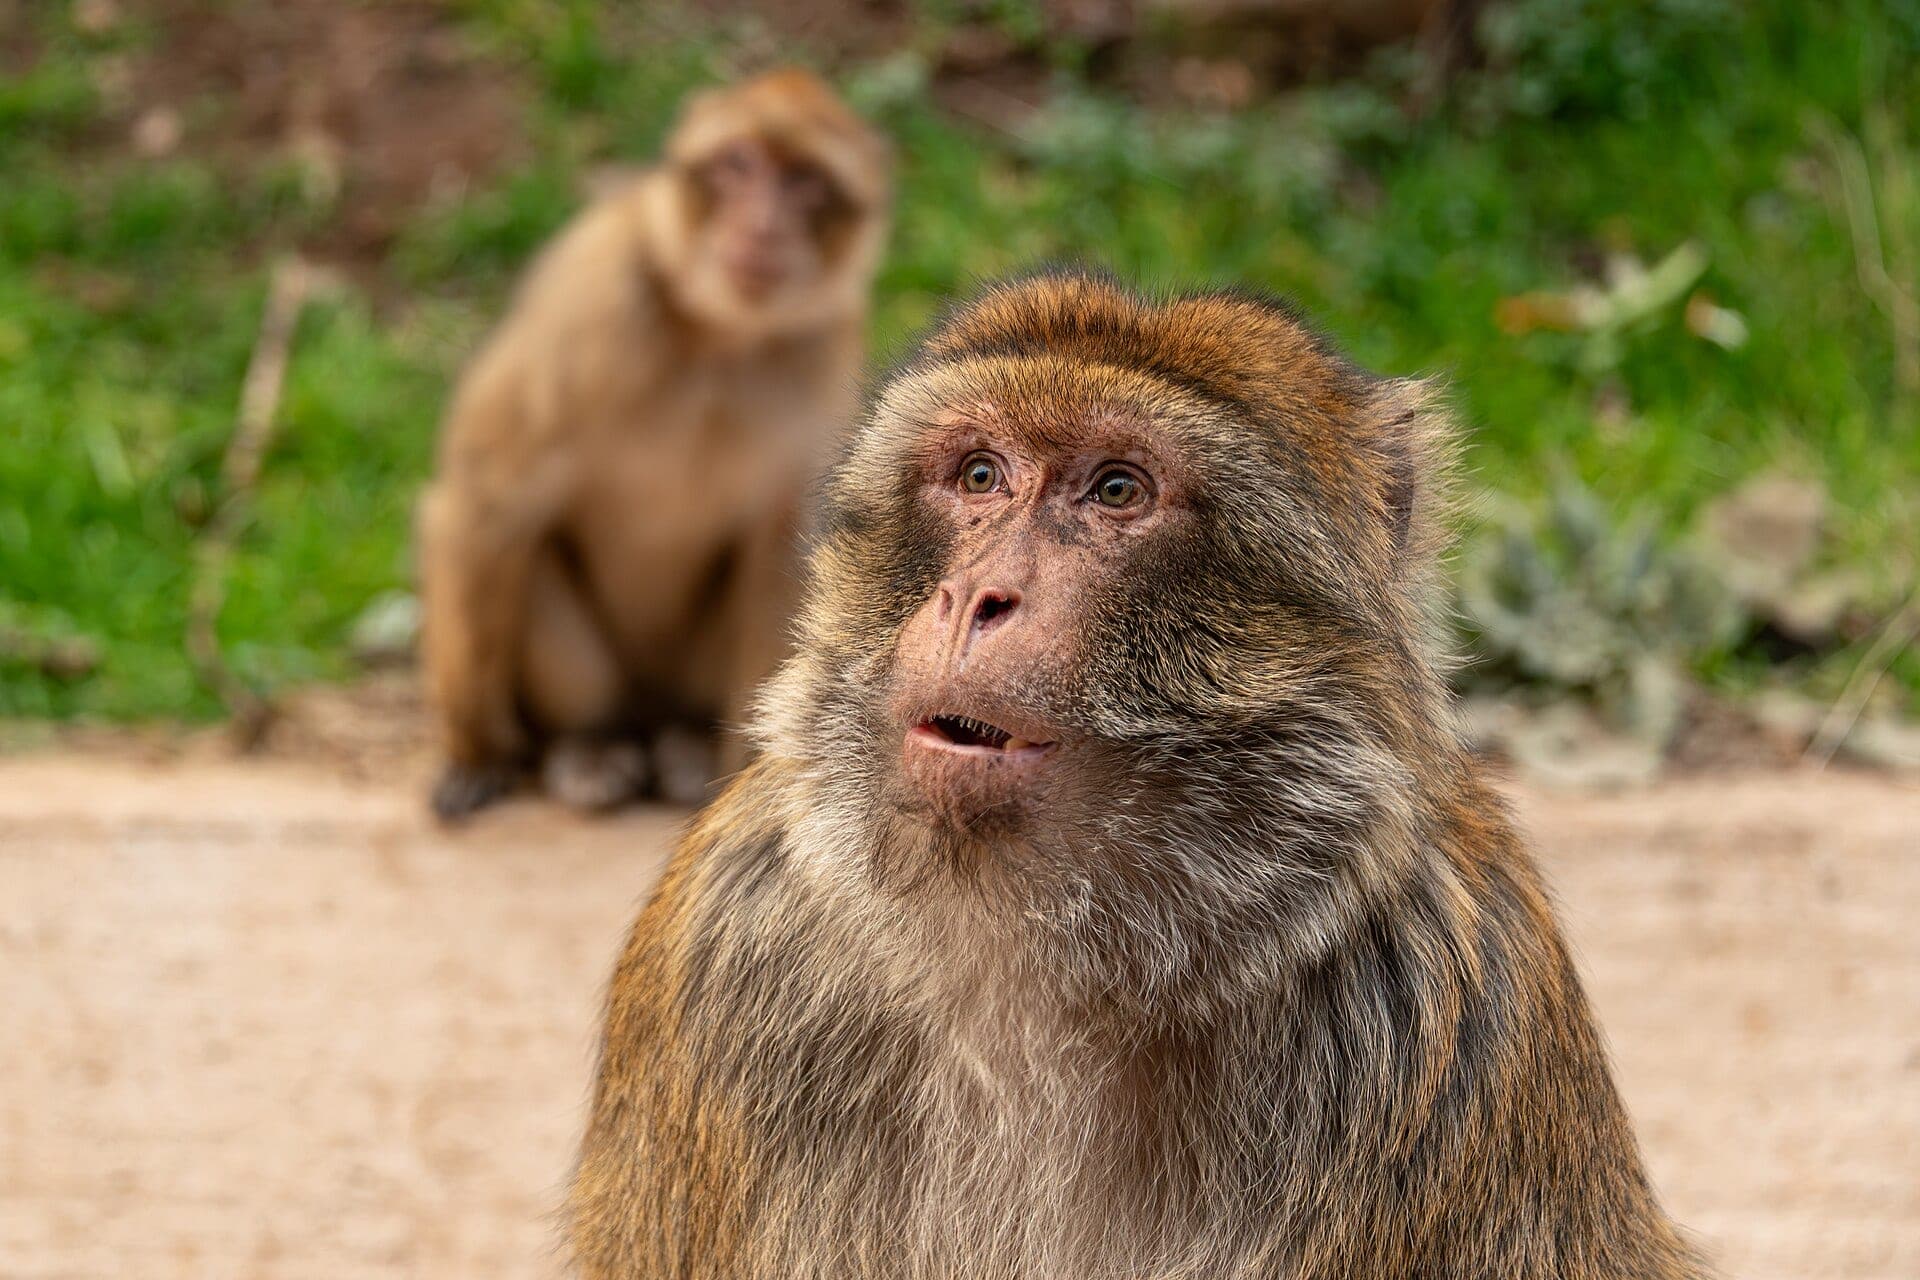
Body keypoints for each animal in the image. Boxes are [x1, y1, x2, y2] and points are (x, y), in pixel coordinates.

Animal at [417, 69, 890, 820]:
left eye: (806, 182)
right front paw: (477, 754)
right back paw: (588, 744)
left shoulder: (824, 359)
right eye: (738, 165)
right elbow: (487, 501)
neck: (718, 340)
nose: (761, 224)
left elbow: (781, 552)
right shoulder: (588, 304)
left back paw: (690, 747)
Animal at [566, 271, 1711, 1279]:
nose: (976, 596)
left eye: (1118, 488)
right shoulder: (729, 945)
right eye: (979, 476)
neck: (1051, 957)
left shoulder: (1444, 1002)